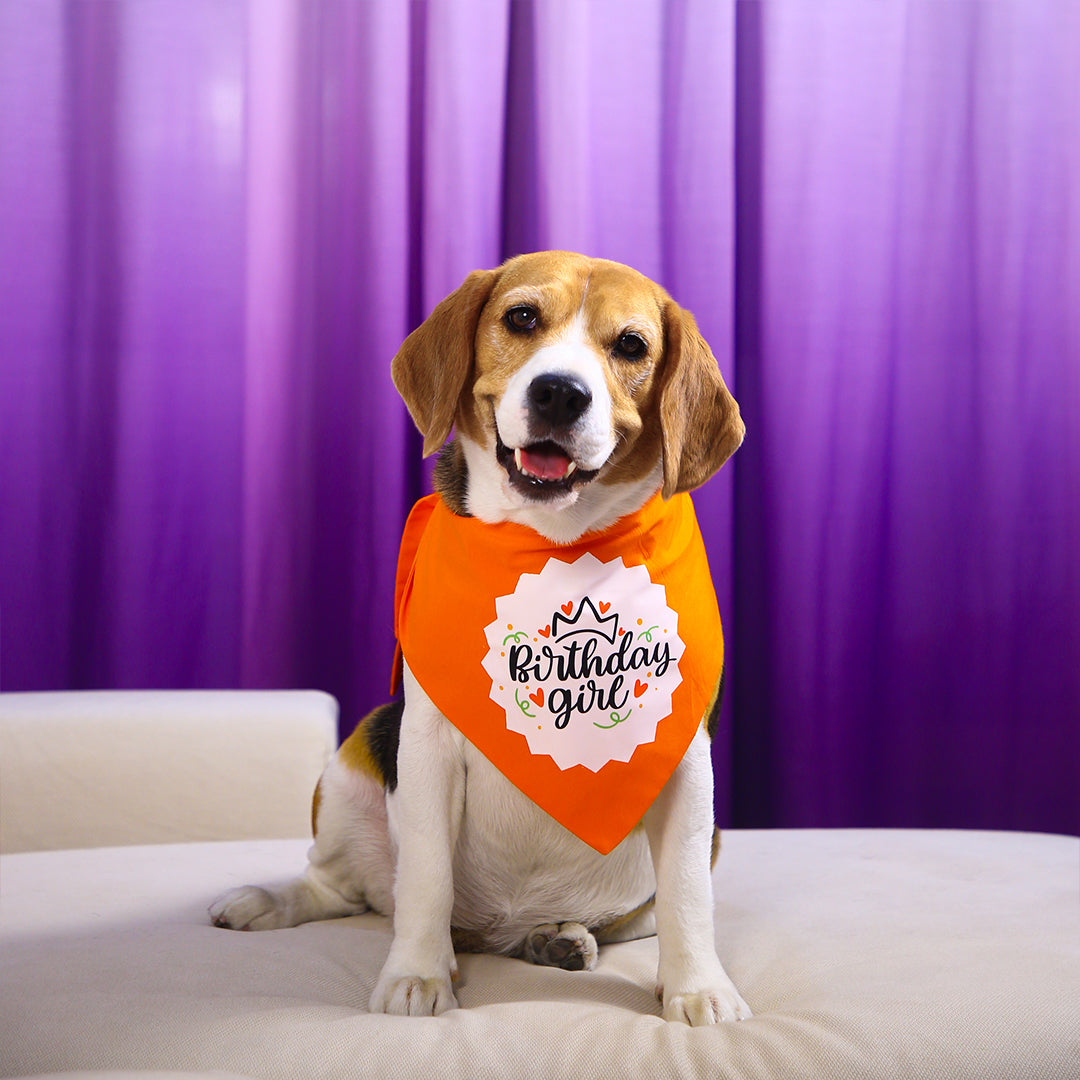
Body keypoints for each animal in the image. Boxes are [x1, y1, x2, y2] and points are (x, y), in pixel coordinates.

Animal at [210, 248, 751, 1023]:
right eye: (521, 317)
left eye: (630, 346)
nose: (559, 394)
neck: (553, 546)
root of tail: (492, 932)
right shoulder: (426, 742)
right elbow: (425, 876)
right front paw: (416, 977)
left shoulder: (683, 760)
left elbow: (686, 893)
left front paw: (698, 988)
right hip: (356, 756)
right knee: (343, 889)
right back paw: (267, 901)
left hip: (697, 848)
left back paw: (562, 939)